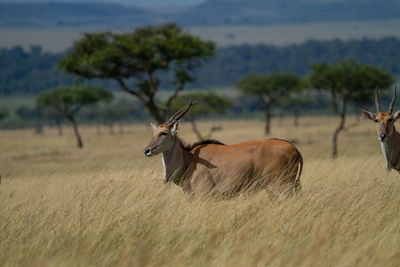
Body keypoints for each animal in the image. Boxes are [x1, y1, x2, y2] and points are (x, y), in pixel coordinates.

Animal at [144, 101, 304, 198]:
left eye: (164, 133)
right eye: (153, 133)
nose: (147, 150)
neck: (189, 160)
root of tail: (294, 148)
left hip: (281, 186)